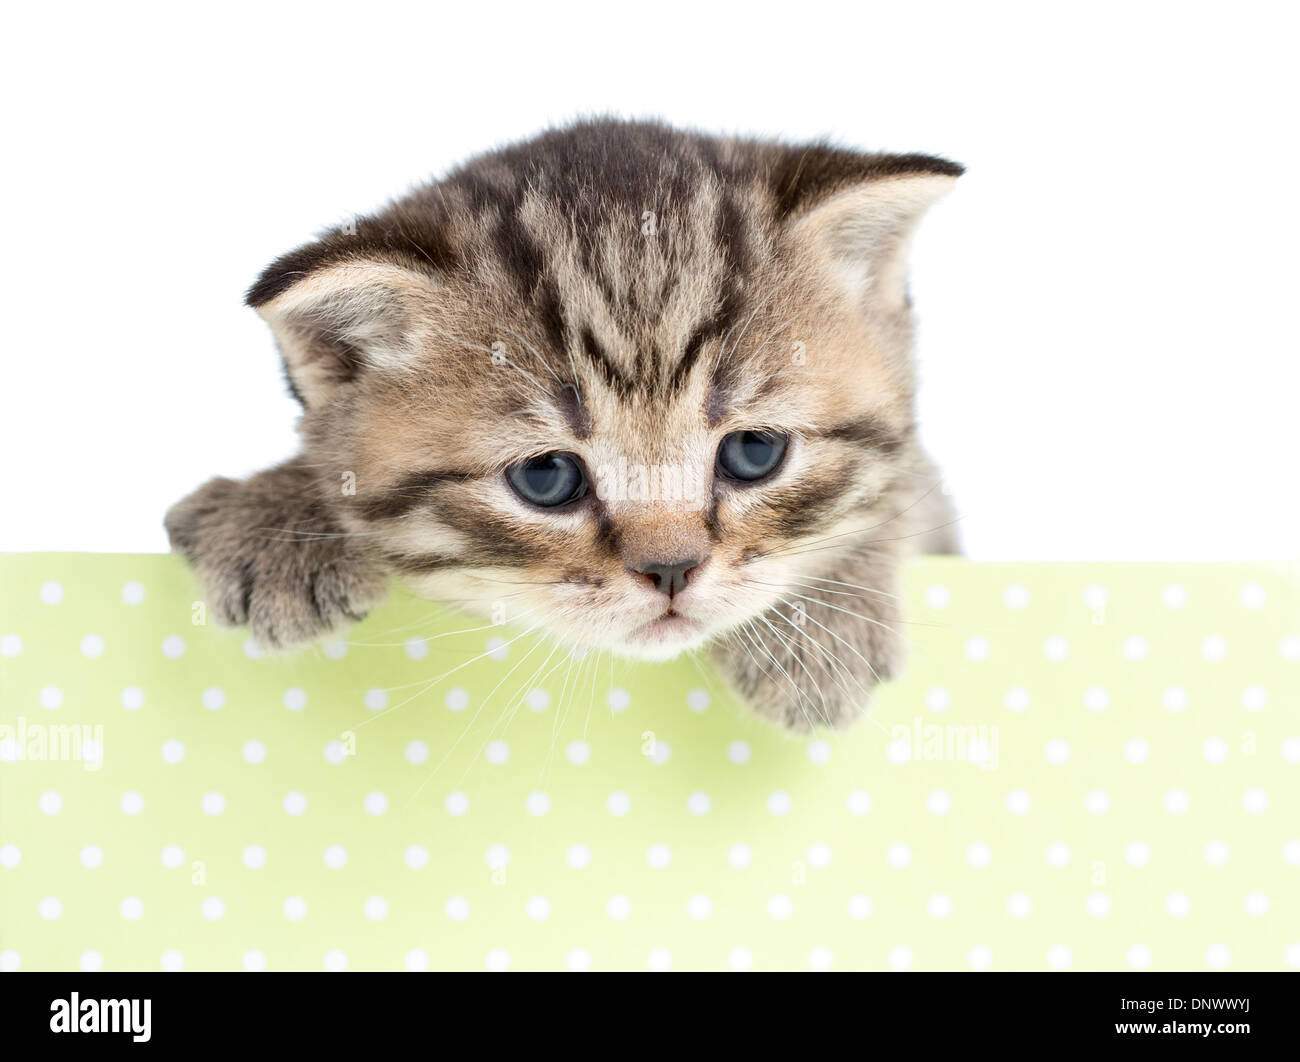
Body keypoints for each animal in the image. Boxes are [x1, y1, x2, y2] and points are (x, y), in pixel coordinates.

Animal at [162, 118, 961, 727]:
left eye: (754, 452)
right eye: (545, 477)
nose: (671, 570)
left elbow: (896, 497)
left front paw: (820, 626)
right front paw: (276, 513)